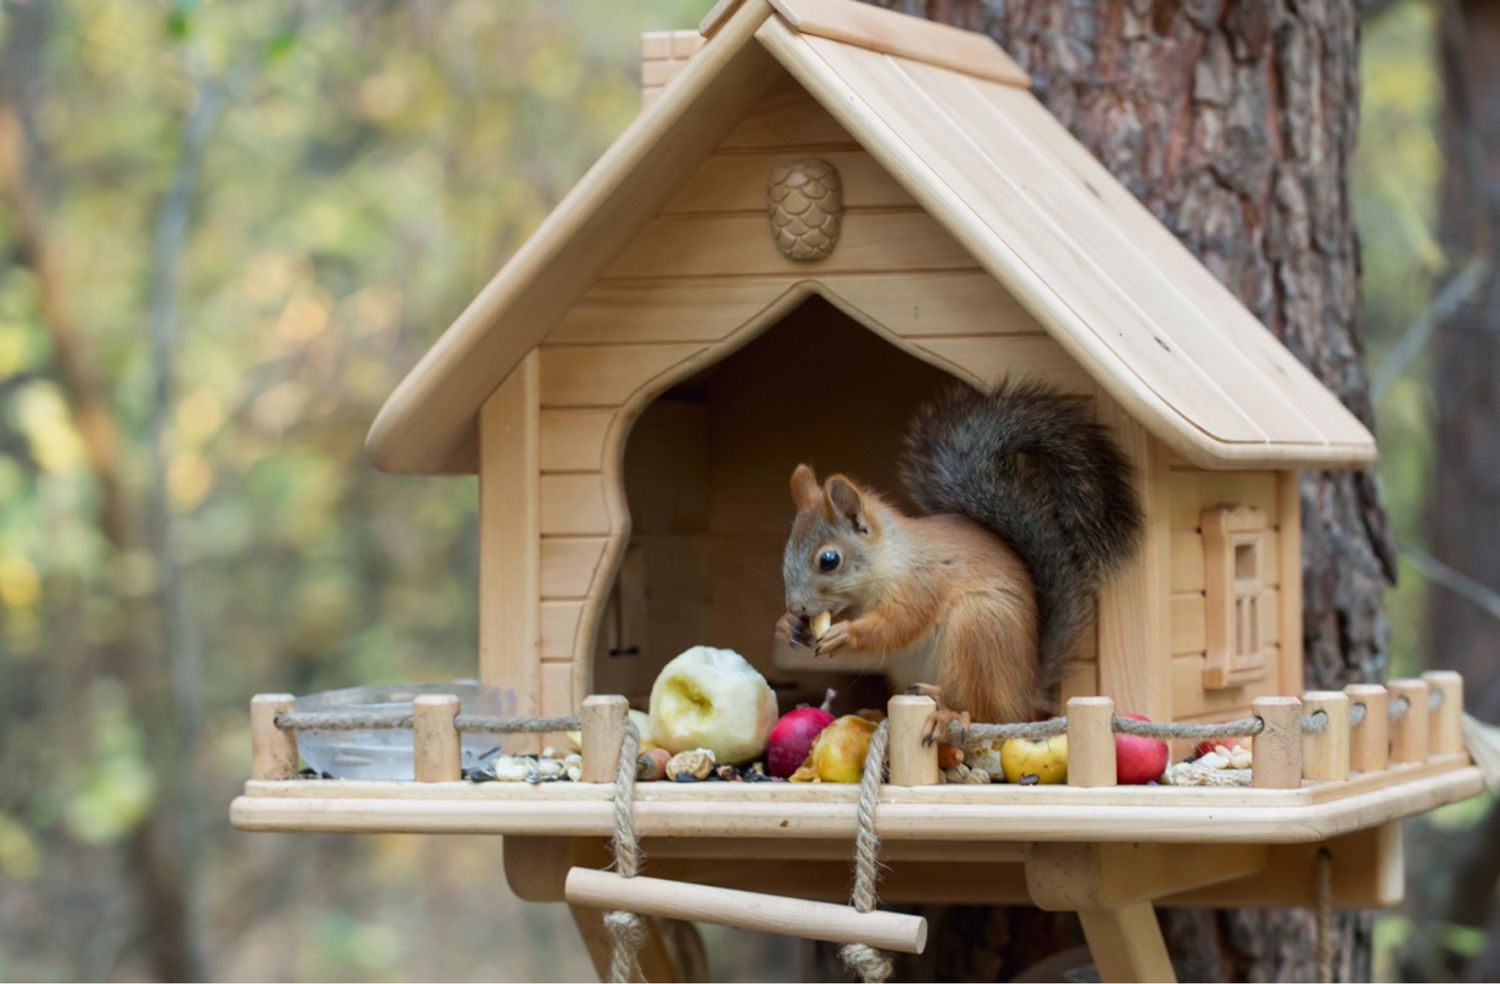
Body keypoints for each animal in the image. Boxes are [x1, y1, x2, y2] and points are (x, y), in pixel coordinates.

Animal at [780, 376, 1140, 738]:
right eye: (786, 552)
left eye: (829, 560)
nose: (796, 607)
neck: (890, 560)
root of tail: (1026, 690)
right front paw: (790, 628)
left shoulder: (922, 583)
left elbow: (899, 624)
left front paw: (846, 634)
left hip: (978, 630)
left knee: (987, 714)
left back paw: (948, 715)